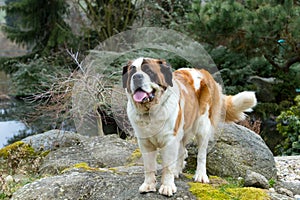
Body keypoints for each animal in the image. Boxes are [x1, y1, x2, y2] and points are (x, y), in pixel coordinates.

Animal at [120, 57, 256, 196]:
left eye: (149, 71)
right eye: (132, 72)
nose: (137, 77)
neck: (151, 111)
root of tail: (203, 72)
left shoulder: (170, 139)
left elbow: (168, 166)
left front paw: (167, 186)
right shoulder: (145, 142)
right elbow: (148, 166)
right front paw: (148, 185)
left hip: (202, 126)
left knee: (201, 154)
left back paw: (200, 175)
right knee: (182, 150)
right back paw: (177, 171)